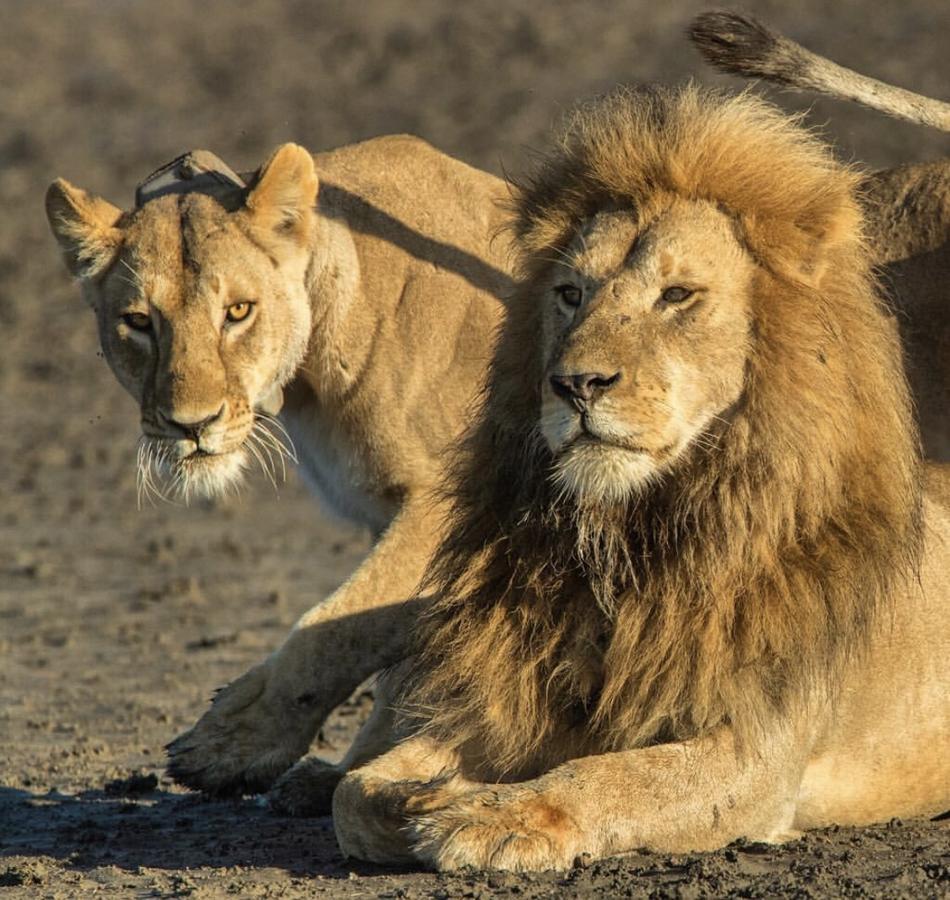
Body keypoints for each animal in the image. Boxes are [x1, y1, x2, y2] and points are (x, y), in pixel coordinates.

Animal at [46, 134, 512, 800]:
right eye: (138, 322)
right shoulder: (385, 513)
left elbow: (337, 626)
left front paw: (236, 741)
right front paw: (352, 770)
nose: (192, 424)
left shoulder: (451, 506)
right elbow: (395, 655)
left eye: (238, 311)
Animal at [332, 86, 950, 872]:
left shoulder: (755, 748)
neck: (629, 539)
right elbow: (353, 793)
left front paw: (496, 818)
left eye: (677, 295)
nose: (575, 384)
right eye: (570, 293)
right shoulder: (511, 700)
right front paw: (432, 796)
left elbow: (613, 779)